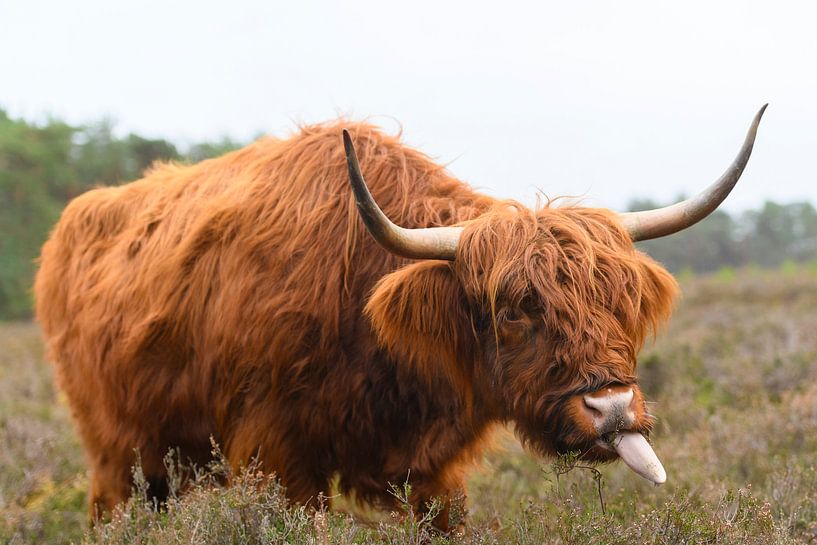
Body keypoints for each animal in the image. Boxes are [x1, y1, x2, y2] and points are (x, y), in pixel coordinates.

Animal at [35, 105, 764, 528]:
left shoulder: (433, 475)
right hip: (117, 455)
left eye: (619, 302)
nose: (611, 409)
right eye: (512, 310)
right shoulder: (277, 457)